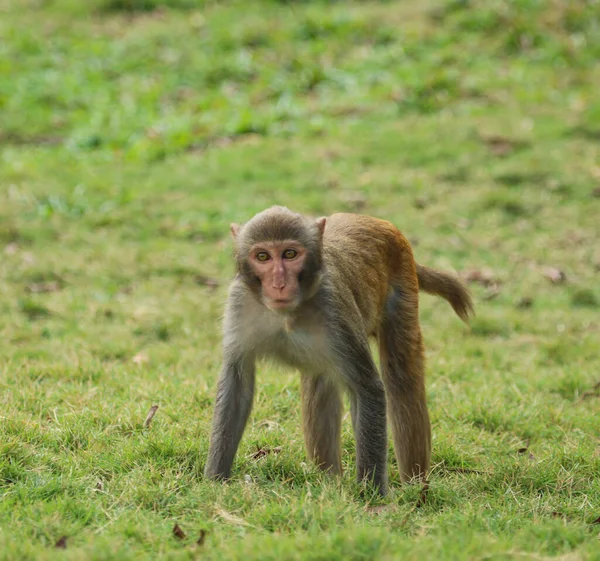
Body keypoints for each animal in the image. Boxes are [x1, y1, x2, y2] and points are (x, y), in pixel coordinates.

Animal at [206, 206, 474, 494]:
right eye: (262, 256)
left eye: (290, 254)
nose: (279, 284)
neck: (287, 314)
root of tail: (375, 221)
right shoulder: (239, 303)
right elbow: (237, 381)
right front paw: (215, 480)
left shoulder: (335, 310)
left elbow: (368, 388)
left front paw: (371, 494)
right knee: (320, 381)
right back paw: (329, 480)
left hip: (403, 285)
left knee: (401, 378)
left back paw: (415, 486)